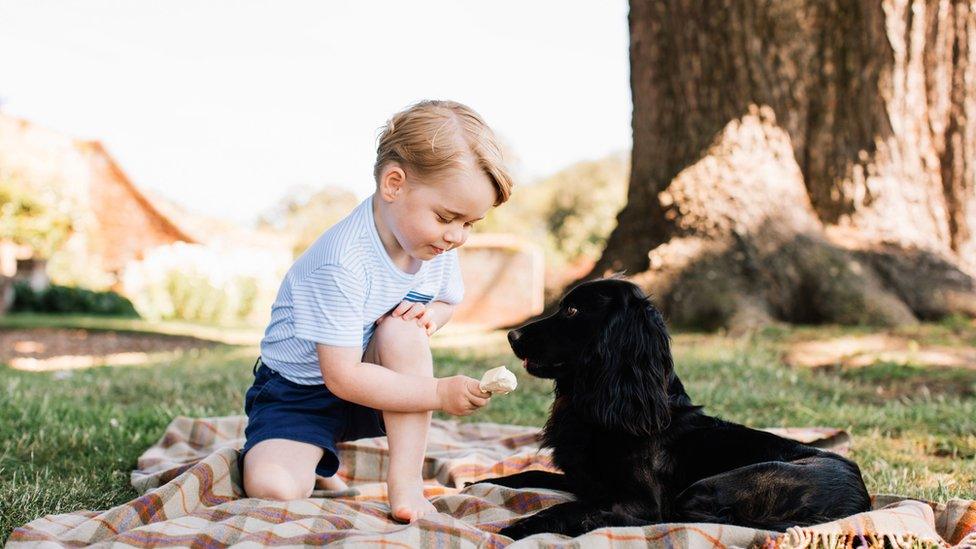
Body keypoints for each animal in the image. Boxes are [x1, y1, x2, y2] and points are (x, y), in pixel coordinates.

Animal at [476, 280, 872, 536]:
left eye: (572, 310)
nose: (511, 335)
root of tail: (861, 501)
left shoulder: (639, 500)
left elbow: (572, 507)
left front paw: (519, 527)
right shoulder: (585, 481)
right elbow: (526, 475)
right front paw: (477, 482)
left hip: (709, 488)